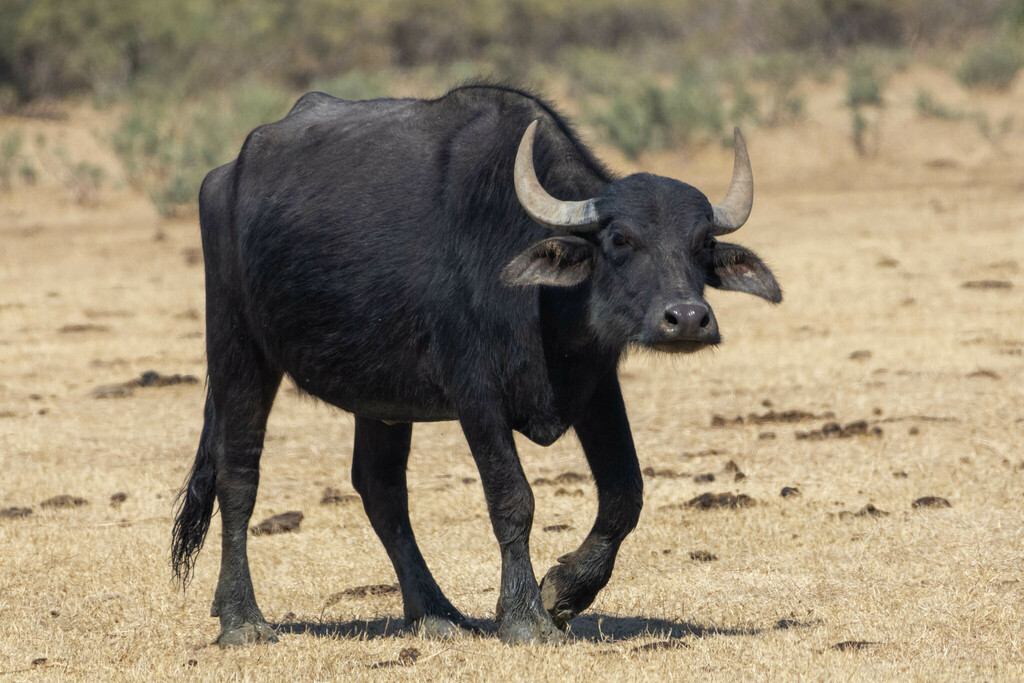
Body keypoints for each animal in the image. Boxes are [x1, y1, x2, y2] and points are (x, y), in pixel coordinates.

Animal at [172, 83, 781, 646]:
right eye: (620, 239)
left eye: (701, 244)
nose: (687, 318)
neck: (538, 301)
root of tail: (225, 175)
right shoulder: (475, 393)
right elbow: (513, 498)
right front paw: (526, 616)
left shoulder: (595, 384)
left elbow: (624, 494)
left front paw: (563, 591)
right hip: (236, 348)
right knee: (238, 474)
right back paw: (242, 619)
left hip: (382, 398)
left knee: (381, 489)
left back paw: (434, 613)